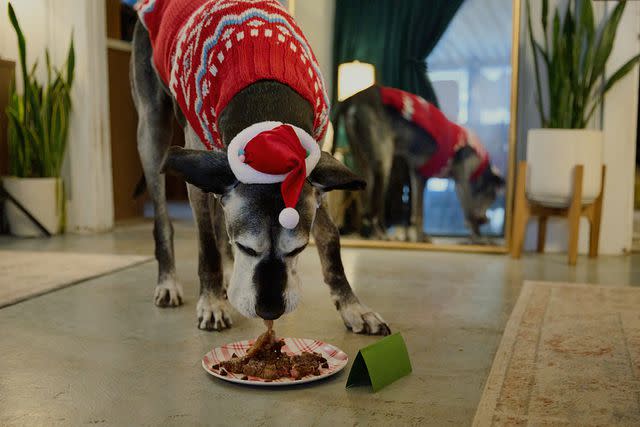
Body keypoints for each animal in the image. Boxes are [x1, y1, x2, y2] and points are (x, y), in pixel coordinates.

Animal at [130, 0, 390, 336]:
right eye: (248, 248)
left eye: (298, 250)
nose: (270, 310)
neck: (267, 105)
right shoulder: (199, 165)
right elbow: (206, 244)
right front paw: (211, 302)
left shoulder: (313, 168)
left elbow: (330, 237)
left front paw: (352, 306)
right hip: (152, 129)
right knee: (165, 218)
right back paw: (169, 282)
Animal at [330, 85, 504, 242]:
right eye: (492, 196)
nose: (485, 220)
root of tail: (352, 98)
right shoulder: (462, 180)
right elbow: (469, 212)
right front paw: (479, 238)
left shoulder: (419, 177)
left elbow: (418, 213)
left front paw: (420, 237)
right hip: (384, 160)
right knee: (375, 208)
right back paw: (381, 234)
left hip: (362, 162)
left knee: (366, 207)